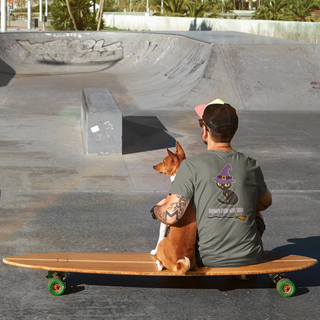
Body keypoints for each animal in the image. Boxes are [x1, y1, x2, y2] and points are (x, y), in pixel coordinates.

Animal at [151, 142, 198, 276]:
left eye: (163, 161)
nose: (153, 166)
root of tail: (179, 266)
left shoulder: (164, 220)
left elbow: (160, 236)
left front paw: (154, 251)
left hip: (164, 243)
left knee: (161, 265)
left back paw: (158, 262)